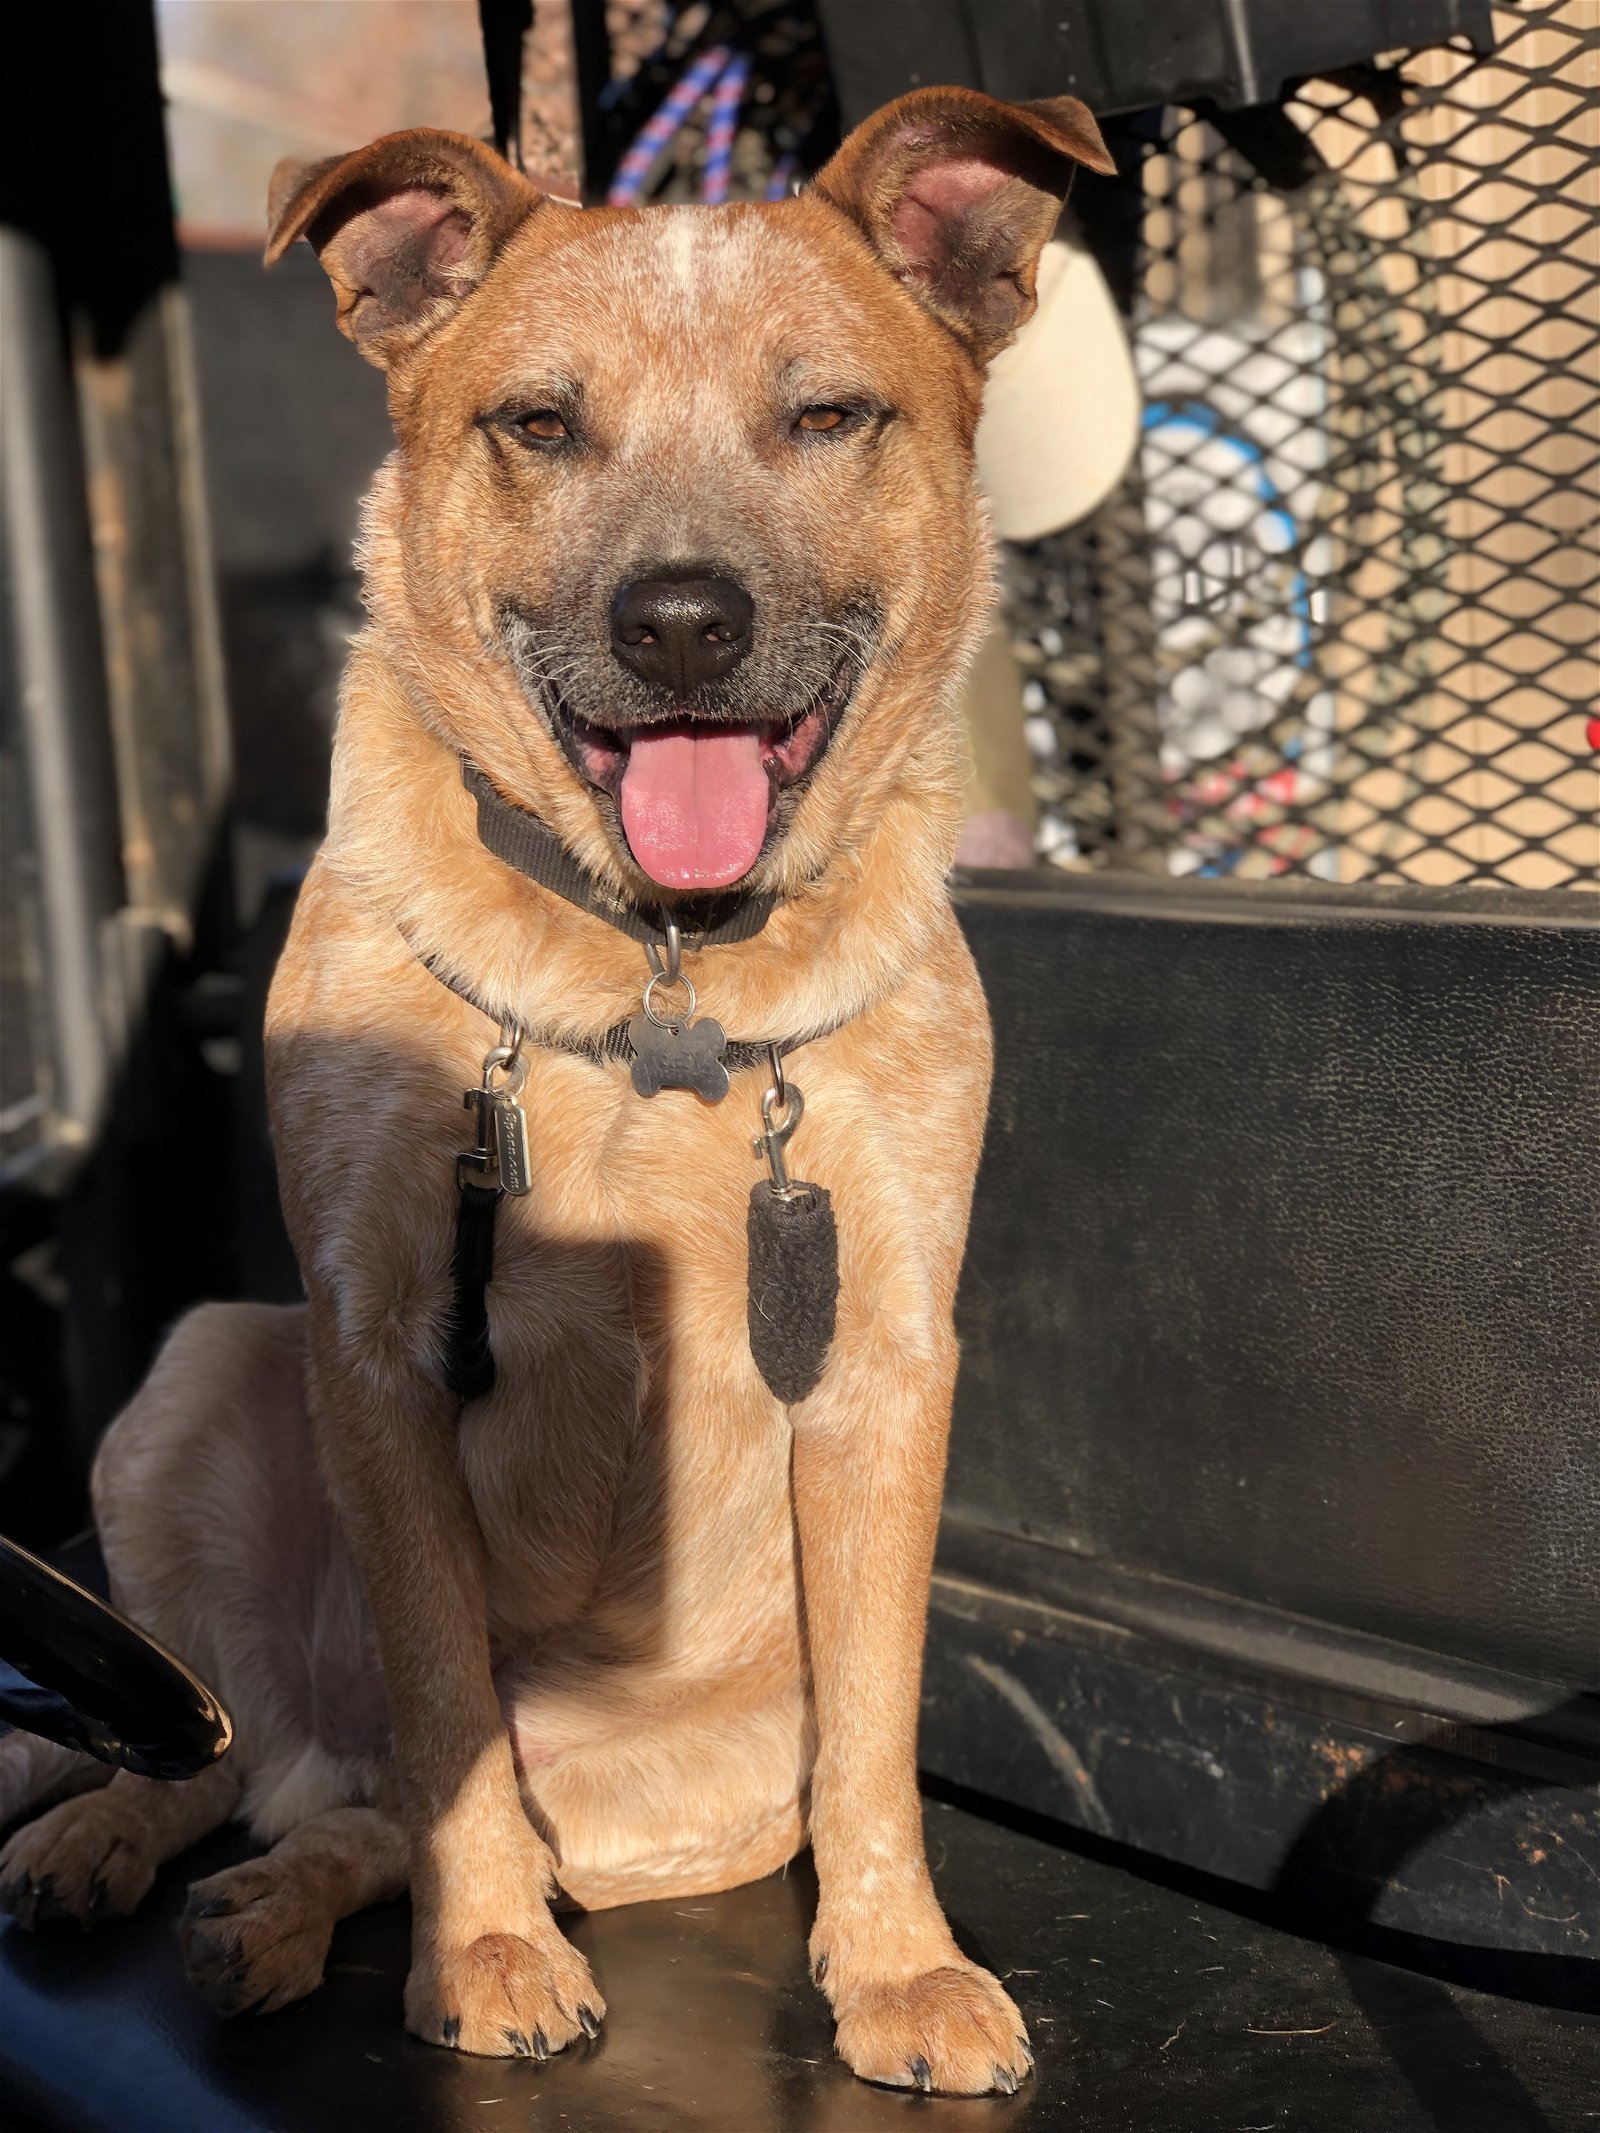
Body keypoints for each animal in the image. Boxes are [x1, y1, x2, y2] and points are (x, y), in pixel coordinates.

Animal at [3, 87, 1117, 2098]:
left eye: (826, 415)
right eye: (538, 422)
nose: (679, 620)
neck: (659, 975)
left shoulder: (889, 1358)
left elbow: (881, 1732)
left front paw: (898, 1963)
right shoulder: (369, 1338)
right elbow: (447, 1695)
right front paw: (491, 1954)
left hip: (672, 1778)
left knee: (339, 1814)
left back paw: (261, 1909)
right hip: (203, 1366)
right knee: (228, 1744)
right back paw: (127, 1840)